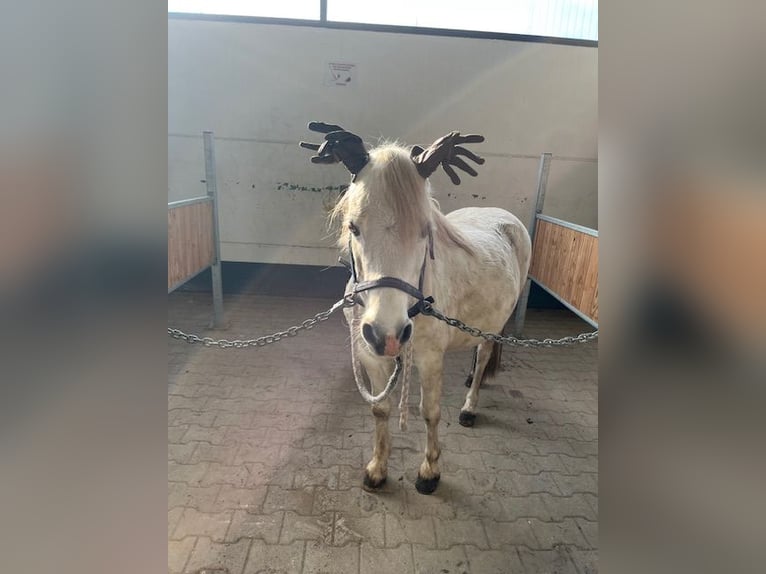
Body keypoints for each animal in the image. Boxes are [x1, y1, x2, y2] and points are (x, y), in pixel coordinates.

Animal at [302, 122, 536, 496]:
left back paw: (470, 405)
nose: (388, 333)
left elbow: (430, 412)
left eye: (426, 231)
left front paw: (429, 472)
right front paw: (377, 469)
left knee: (484, 354)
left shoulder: (429, 358)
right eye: (354, 227)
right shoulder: (369, 354)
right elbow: (380, 410)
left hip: (493, 326)